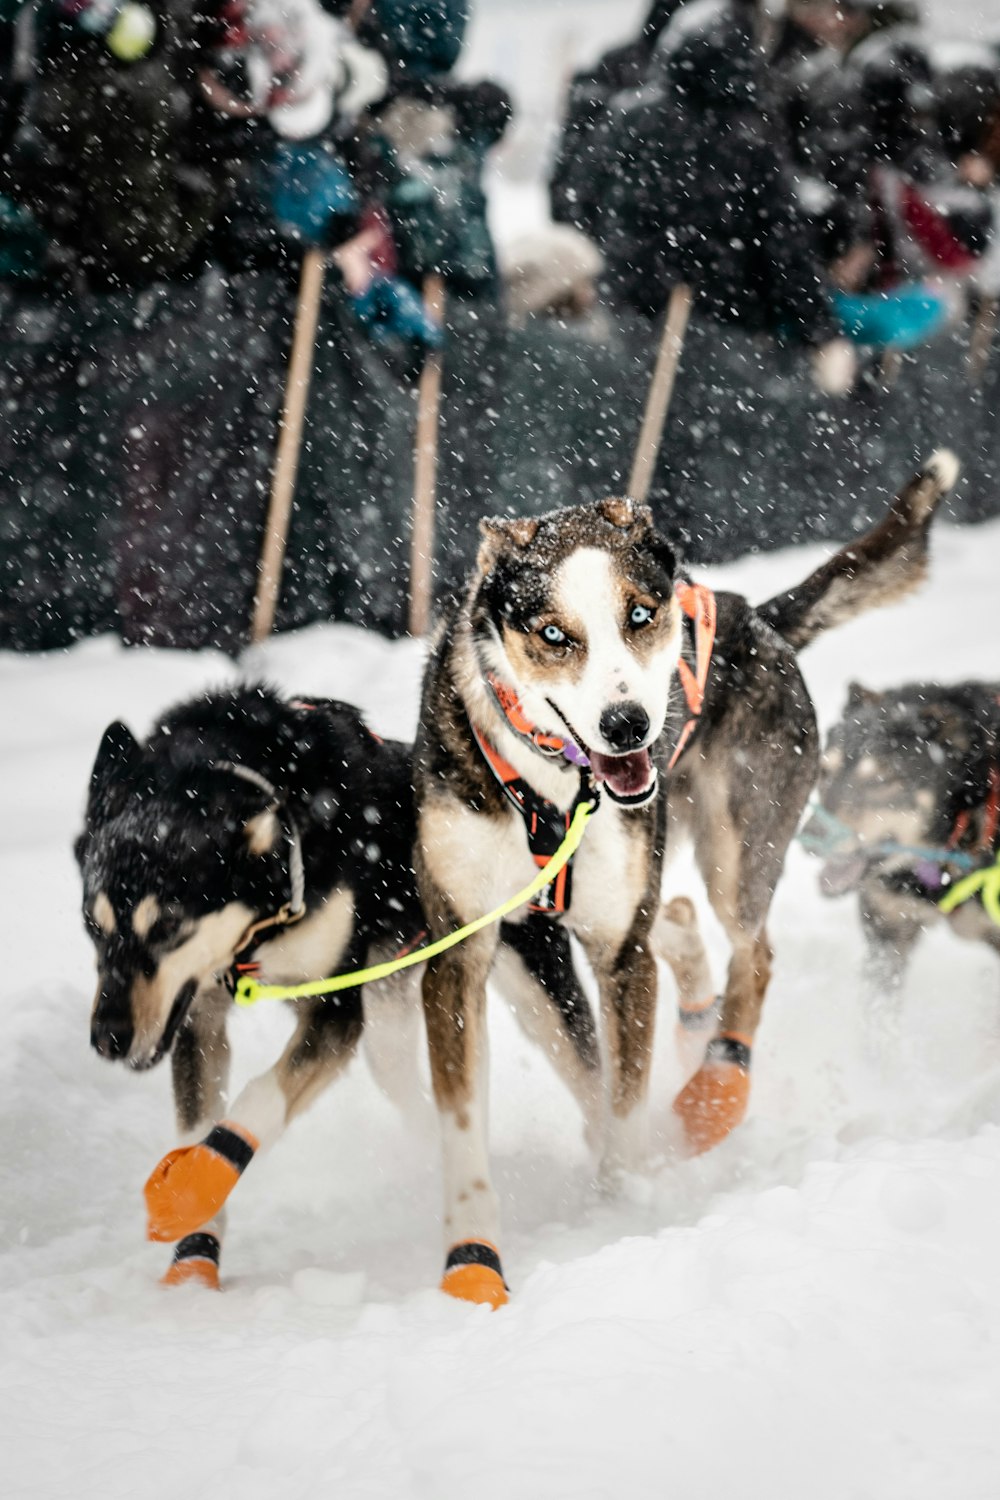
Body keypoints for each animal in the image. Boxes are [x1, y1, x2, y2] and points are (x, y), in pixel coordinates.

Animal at [416, 450, 959, 1308]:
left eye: (640, 615)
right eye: (553, 634)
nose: (628, 726)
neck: (551, 790)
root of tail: (755, 615)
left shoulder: (618, 953)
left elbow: (626, 1101)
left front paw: (620, 1209)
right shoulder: (461, 955)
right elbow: (470, 1123)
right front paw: (473, 1259)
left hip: (738, 855)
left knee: (752, 953)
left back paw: (717, 1087)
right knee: (657, 944)